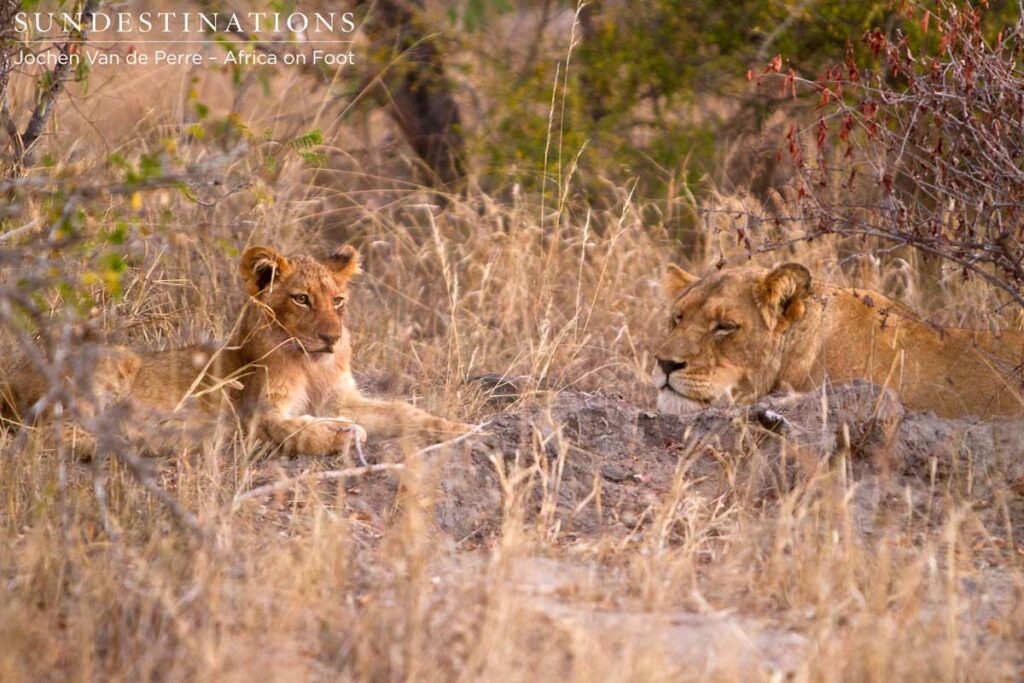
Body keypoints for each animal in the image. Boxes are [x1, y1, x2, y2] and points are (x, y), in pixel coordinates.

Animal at [2, 244, 471, 456]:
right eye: (302, 299)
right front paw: (339, 433)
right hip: (111, 364)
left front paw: (458, 428)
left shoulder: (343, 398)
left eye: (338, 301)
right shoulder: (254, 417)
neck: (312, 364)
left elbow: (403, 412)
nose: (332, 337)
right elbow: (295, 430)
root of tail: (13, 375)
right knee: (45, 435)